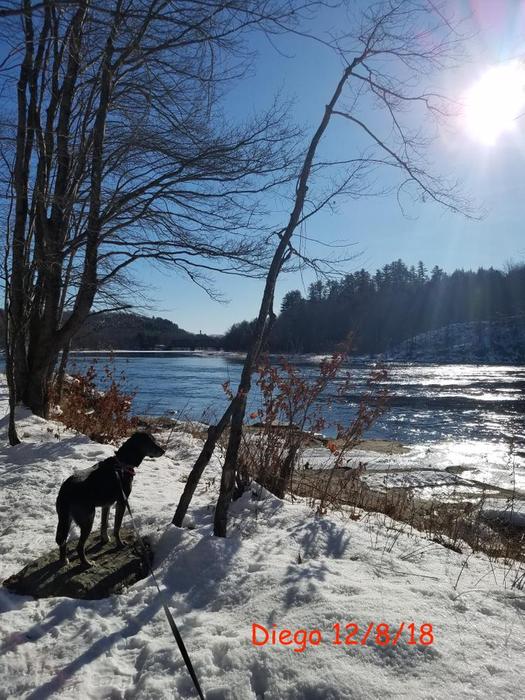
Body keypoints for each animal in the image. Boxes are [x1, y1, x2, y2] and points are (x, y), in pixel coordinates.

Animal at [55, 430, 164, 568]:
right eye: (151, 442)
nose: (163, 451)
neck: (122, 463)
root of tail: (65, 490)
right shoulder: (122, 502)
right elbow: (117, 527)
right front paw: (120, 544)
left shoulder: (106, 505)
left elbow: (104, 524)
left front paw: (105, 539)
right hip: (88, 518)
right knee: (79, 546)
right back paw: (87, 563)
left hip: (65, 518)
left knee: (62, 540)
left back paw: (63, 560)